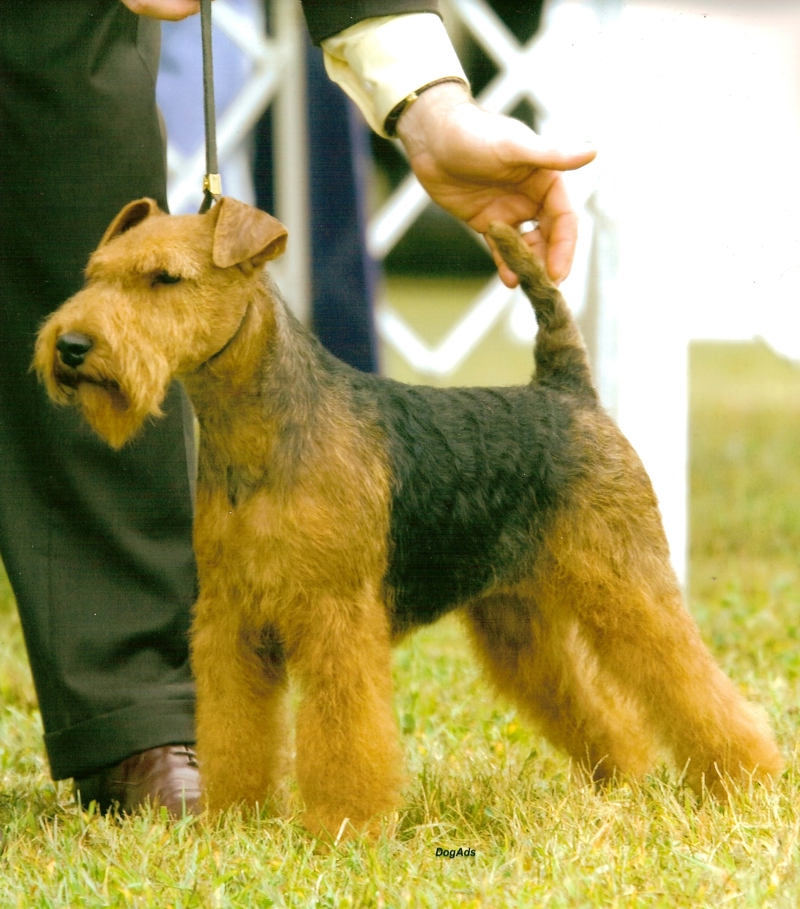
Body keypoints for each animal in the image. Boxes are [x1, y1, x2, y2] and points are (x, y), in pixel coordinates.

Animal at [34, 197, 784, 836]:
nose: (71, 346)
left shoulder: (334, 617)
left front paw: (346, 826)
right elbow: (234, 731)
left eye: (166, 278)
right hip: (518, 624)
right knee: (605, 714)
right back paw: (619, 780)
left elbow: (346, 738)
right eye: (96, 275)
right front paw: (234, 819)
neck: (258, 432)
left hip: (628, 583)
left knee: (695, 686)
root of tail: (569, 389)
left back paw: (747, 779)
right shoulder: (230, 622)